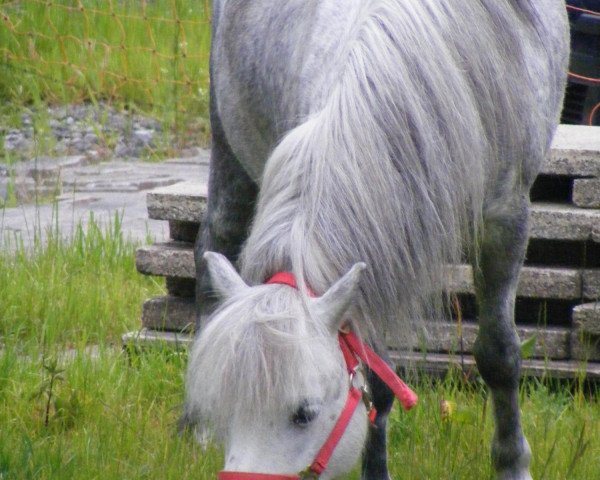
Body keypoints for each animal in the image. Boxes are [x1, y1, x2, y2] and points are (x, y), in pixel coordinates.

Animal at [185, 1, 568, 478]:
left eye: (305, 413)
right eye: (228, 406)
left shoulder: (504, 220)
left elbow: (499, 355)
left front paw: (512, 464)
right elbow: (377, 380)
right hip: (228, 145)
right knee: (211, 248)